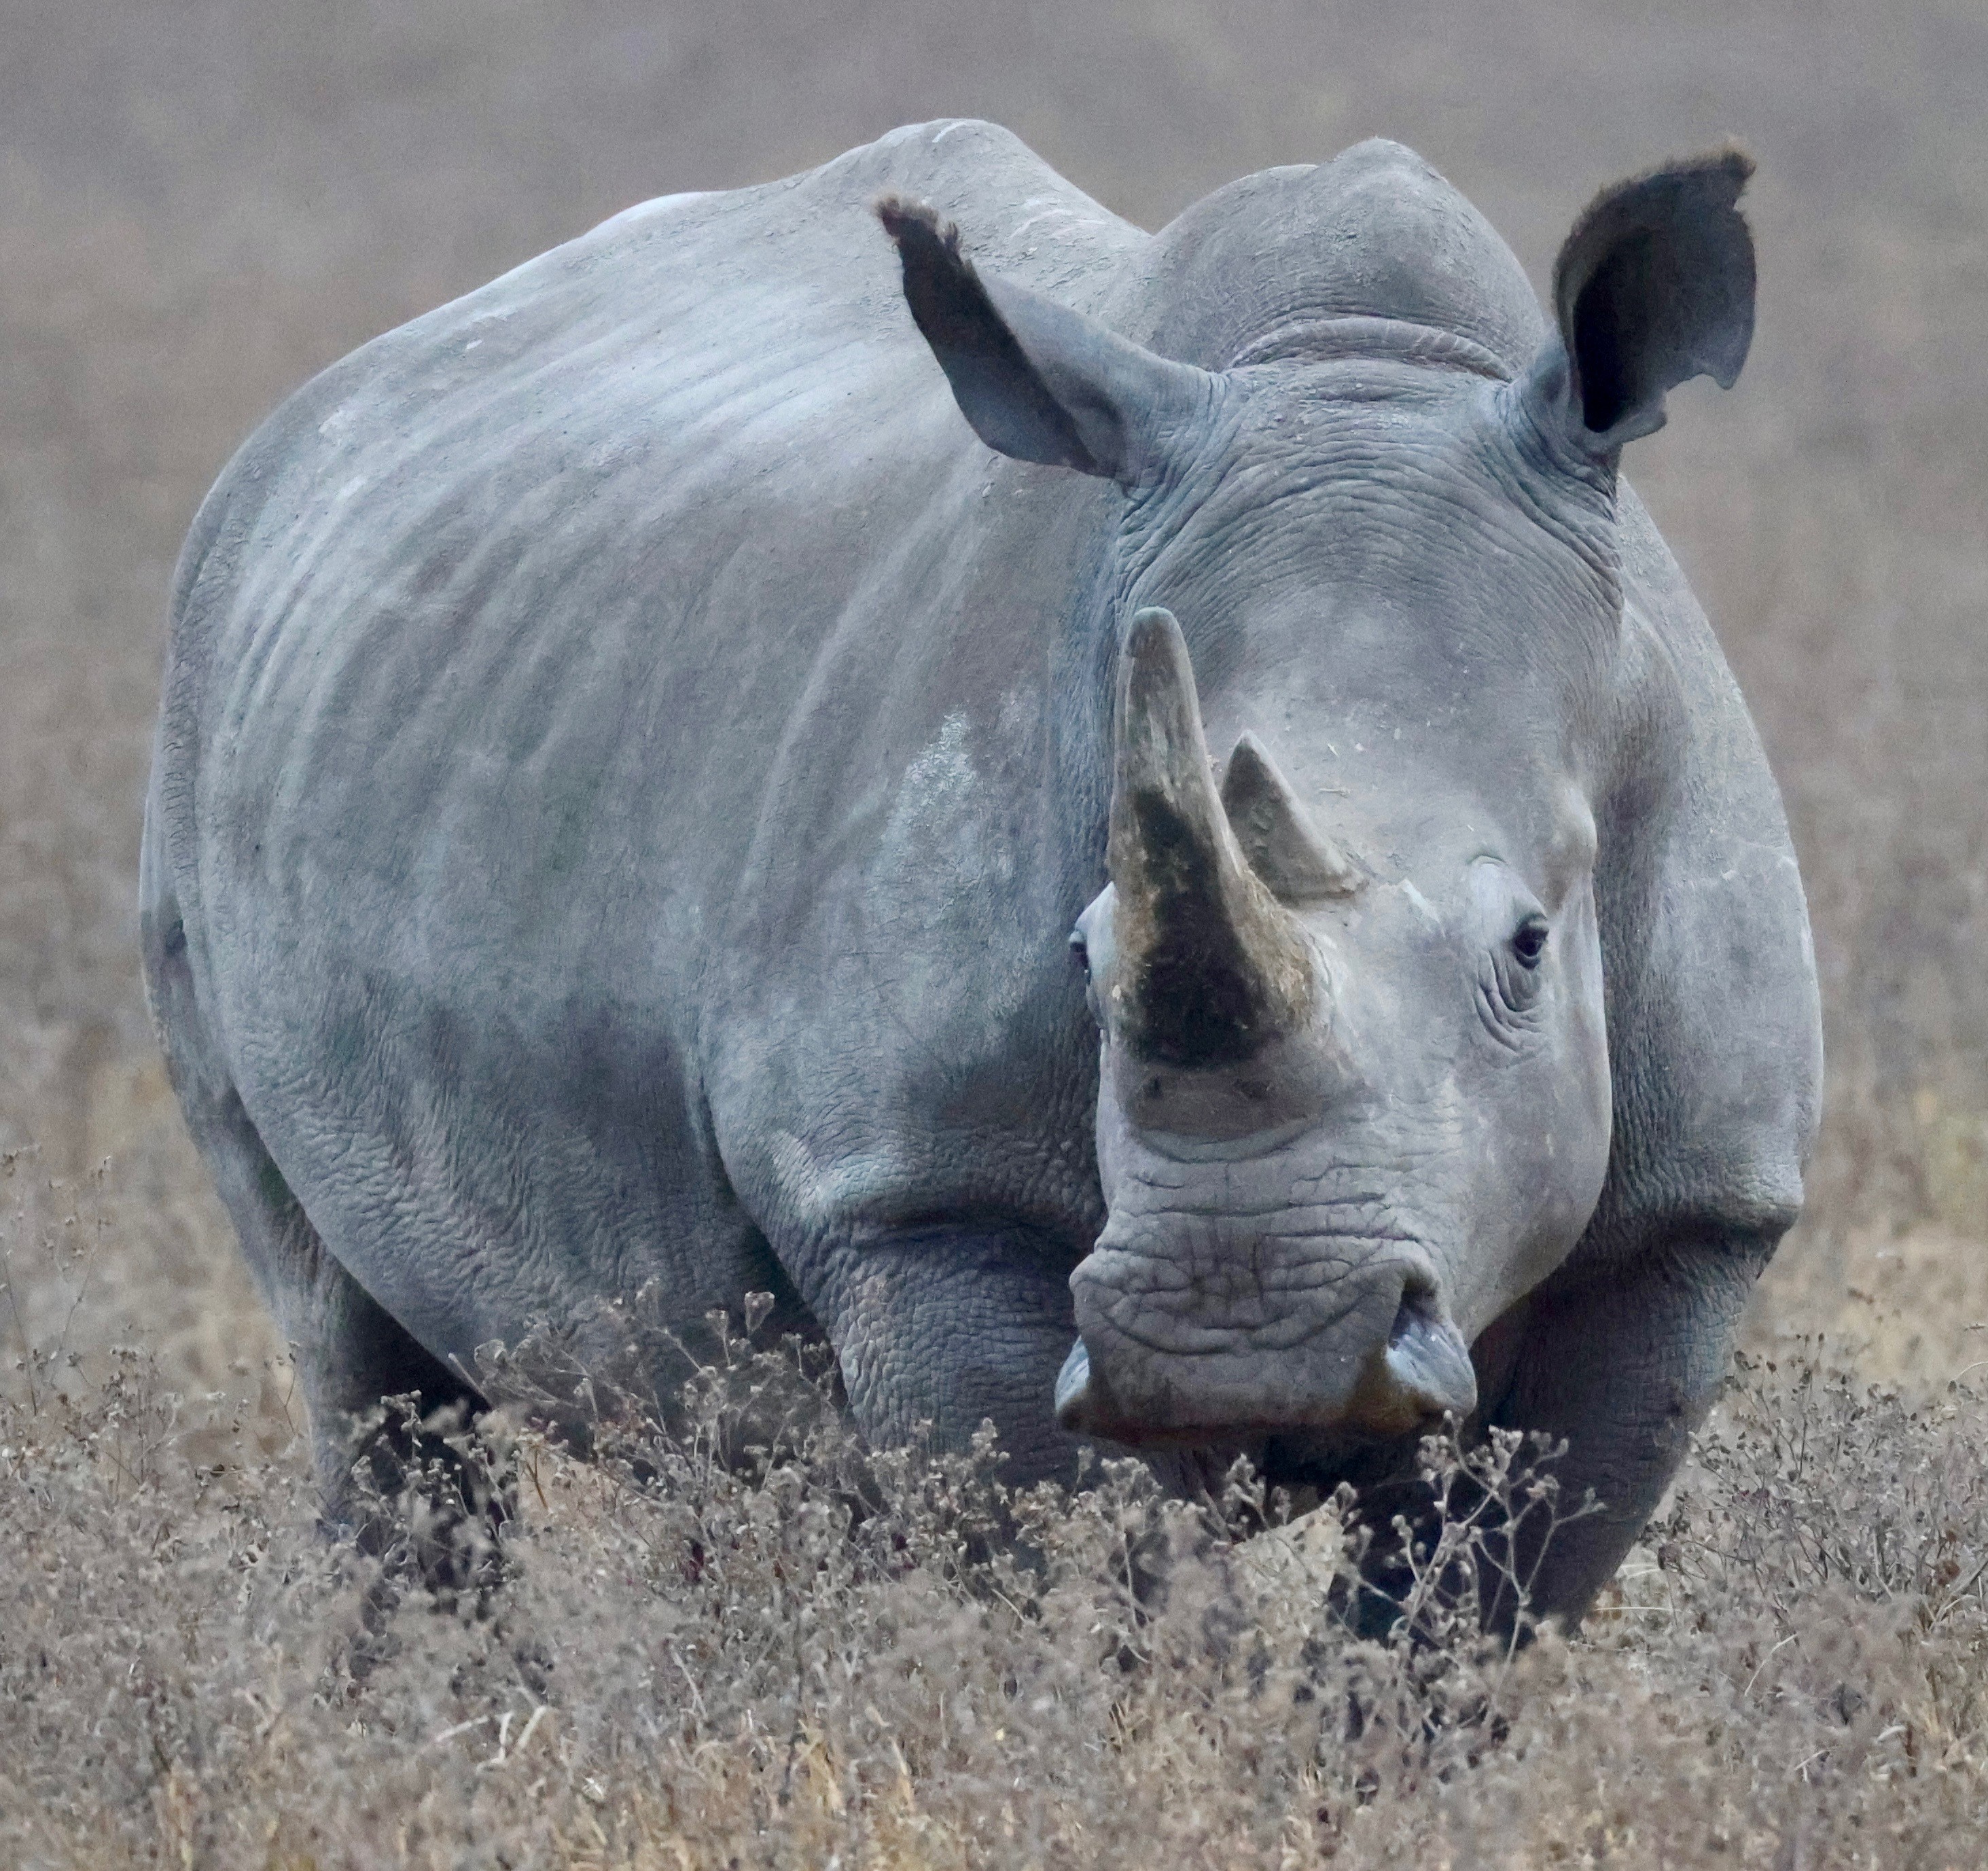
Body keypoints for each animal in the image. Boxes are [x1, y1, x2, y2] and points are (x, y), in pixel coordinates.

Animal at [142, 120, 1820, 1624]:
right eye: (1081, 954)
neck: (1360, 364)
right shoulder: (923, 1192)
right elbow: (1093, 1593)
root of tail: (307, 422)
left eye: (1530, 945)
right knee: (358, 1356)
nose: (1237, 1340)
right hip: (198, 706)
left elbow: (1457, 1627)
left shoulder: (1688, 1222)